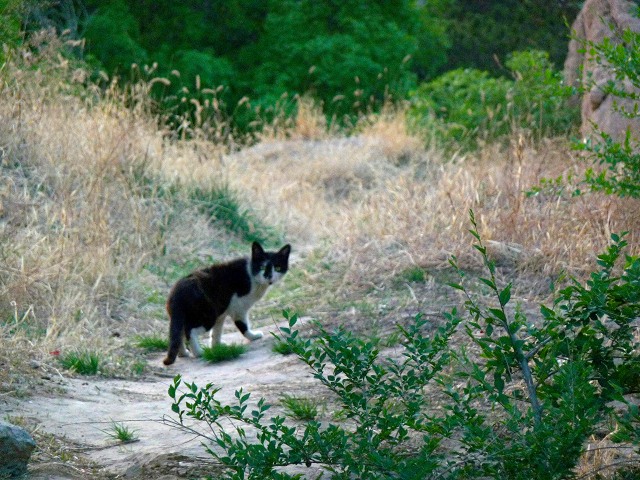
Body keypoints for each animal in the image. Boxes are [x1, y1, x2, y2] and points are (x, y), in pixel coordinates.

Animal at [161, 242, 292, 366]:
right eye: (262, 267)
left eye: (277, 267)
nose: (268, 276)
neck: (252, 276)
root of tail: (176, 293)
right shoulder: (238, 308)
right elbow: (243, 326)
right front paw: (253, 336)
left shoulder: (222, 314)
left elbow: (216, 332)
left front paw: (217, 347)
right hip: (208, 314)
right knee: (189, 331)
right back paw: (198, 352)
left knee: (178, 333)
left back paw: (183, 353)